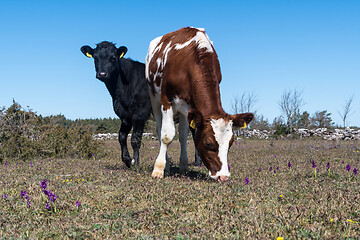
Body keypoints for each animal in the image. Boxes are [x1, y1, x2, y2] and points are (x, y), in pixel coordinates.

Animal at [145, 27, 255, 181]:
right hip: (154, 98)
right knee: (160, 128)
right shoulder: (167, 100)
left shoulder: (190, 108)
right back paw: (165, 166)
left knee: (183, 135)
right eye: (208, 143)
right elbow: (166, 136)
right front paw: (159, 169)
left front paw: (183, 168)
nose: (223, 176)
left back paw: (183, 166)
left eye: (231, 142)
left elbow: (183, 136)